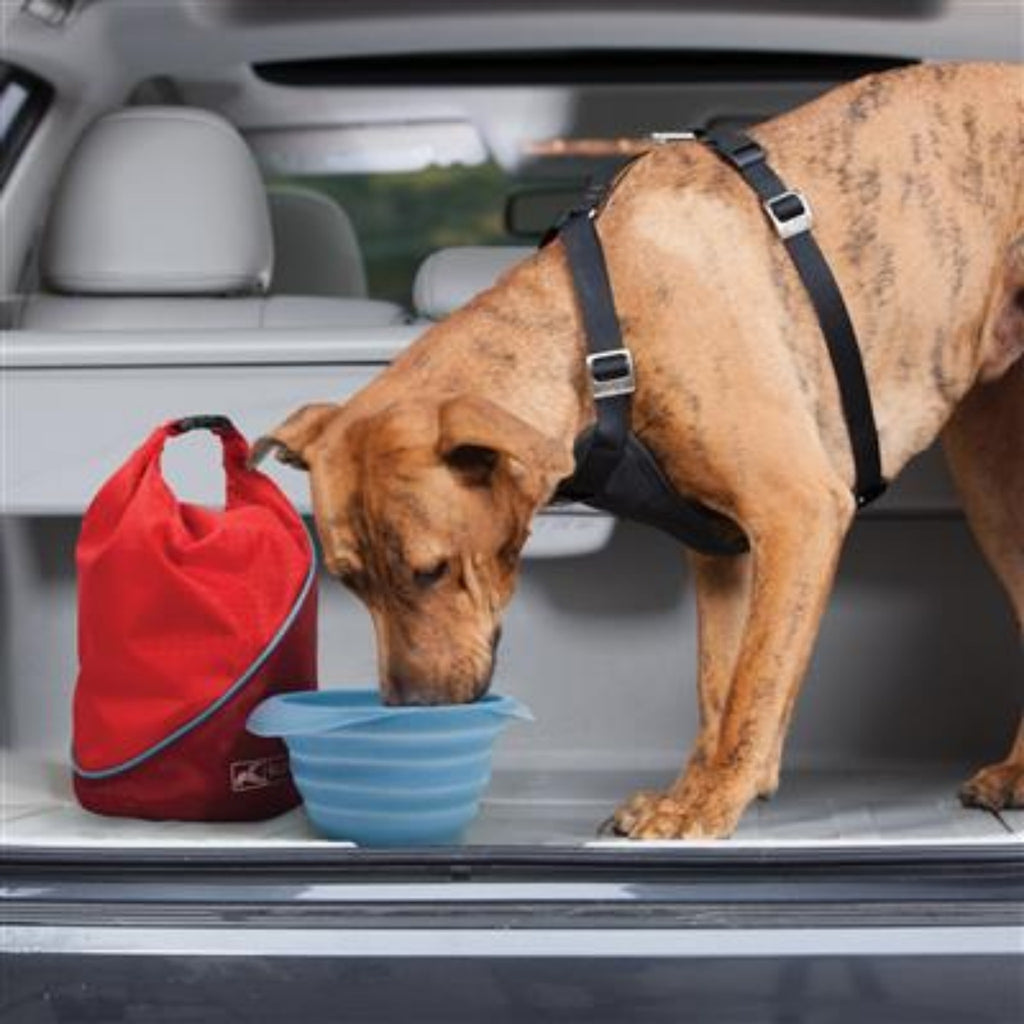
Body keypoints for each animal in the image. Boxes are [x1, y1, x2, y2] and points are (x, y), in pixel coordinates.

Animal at [249, 59, 1024, 835]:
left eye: (432, 571)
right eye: (349, 582)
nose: (409, 710)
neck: (601, 340)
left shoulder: (797, 512)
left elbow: (755, 684)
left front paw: (710, 802)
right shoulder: (724, 550)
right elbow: (720, 685)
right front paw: (697, 788)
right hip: (991, 487)